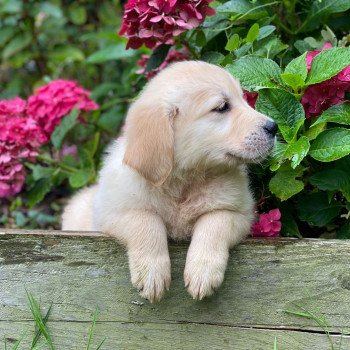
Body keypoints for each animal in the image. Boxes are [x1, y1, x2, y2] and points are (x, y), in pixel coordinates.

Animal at [62, 60, 276, 300]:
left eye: (243, 99)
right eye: (222, 107)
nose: (274, 127)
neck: (185, 180)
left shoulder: (239, 213)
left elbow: (215, 222)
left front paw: (202, 272)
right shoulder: (112, 213)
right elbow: (146, 220)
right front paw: (152, 274)